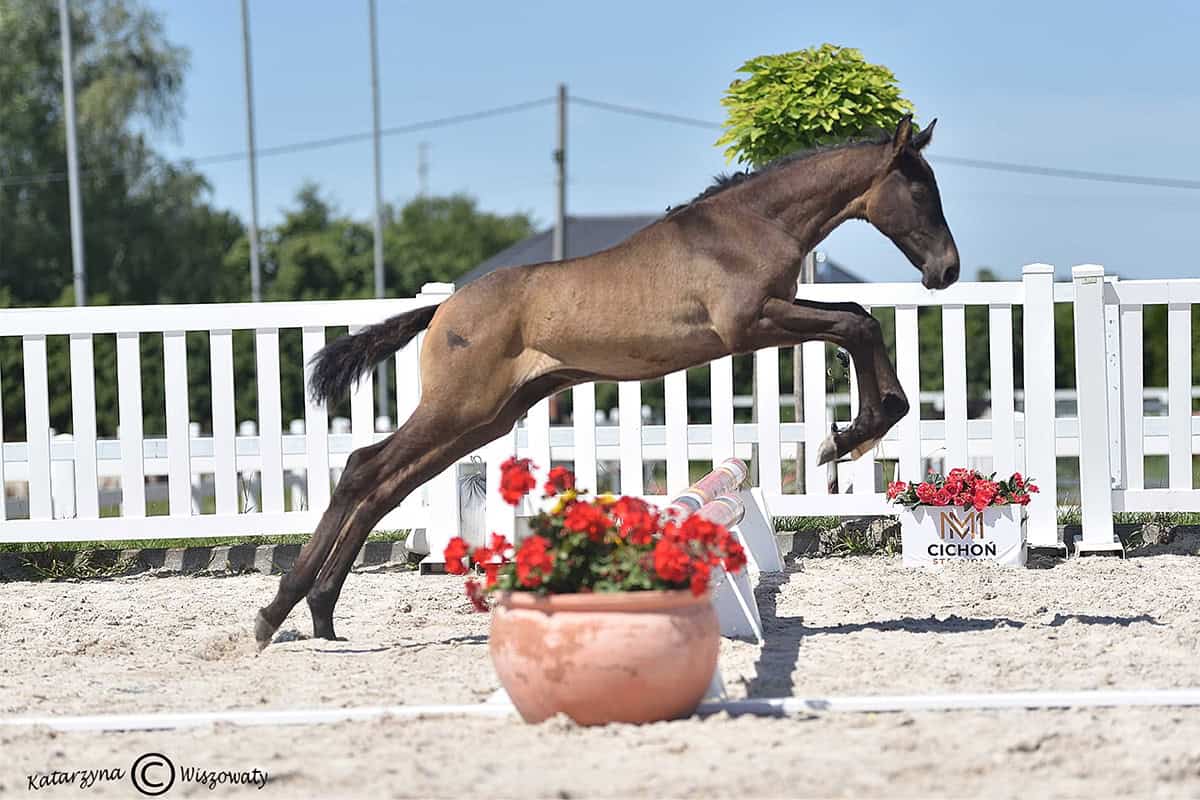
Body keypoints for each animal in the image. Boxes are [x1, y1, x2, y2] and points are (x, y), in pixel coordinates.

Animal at [254, 114, 959, 648]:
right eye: (920, 189)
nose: (946, 270)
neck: (749, 225)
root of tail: (444, 308)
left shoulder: (775, 315)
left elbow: (858, 317)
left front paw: (856, 432)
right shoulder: (751, 323)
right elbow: (858, 322)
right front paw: (849, 438)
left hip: (486, 417)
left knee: (385, 485)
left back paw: (320, 612)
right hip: (459, 408)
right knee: (363, 469)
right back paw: (276, 614)